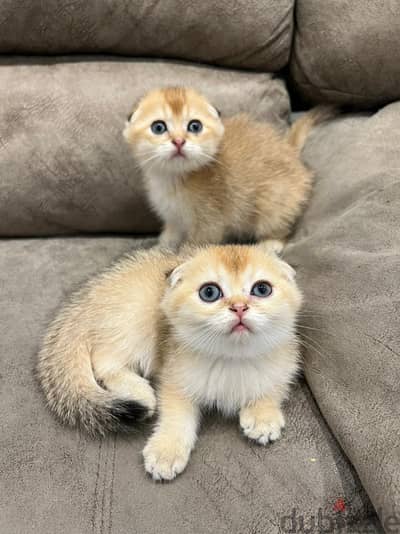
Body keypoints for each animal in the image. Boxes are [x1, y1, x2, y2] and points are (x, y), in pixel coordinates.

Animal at [37, 241, 302, 484]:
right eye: (209, 293)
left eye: (262, 289)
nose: (239, 307)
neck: (232, 358)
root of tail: (85, 300)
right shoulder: (174, 377)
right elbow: (176, 415)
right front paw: (166, 451)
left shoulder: (285, 362)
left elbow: (273, 386)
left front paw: (262, 416)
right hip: (135, 321)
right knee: (105, 362)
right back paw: (142, 392)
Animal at [123, 87, 330, 251]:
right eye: (158, 127)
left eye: (195, 126)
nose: (179, 141)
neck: (175, 177)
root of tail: (289, 149)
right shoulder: (173, 217)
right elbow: (171, 234)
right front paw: (160, 247)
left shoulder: (210, 223)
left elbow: (194, 246)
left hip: (273, 202)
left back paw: (271, 244)